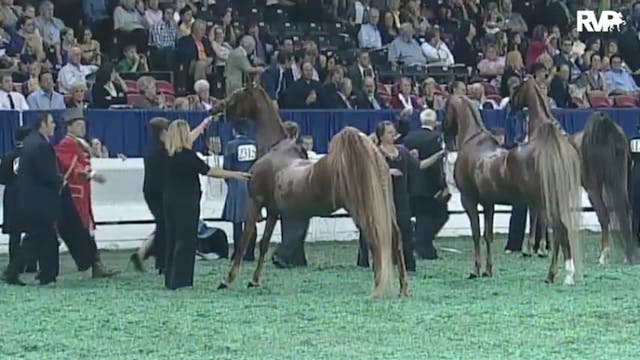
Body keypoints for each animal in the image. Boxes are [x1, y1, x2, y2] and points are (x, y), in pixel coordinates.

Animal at [212, 84, 408, 298]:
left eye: (237, 94)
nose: (214, 109)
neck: (275, 150)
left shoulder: (255, 202)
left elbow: (244, 239)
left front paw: (227, 279)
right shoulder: (273, 210)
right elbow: (263, 244)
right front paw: (254, 280)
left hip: (363, 210)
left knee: (377, 239)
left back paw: (379, 287)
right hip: (383, 207)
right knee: (395, 237)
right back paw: (403, 289)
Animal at [442, 95, 584, 284]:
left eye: (445, 109)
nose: (446, 140)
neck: (473, 143)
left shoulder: (469, 201)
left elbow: (476, 233)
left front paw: (475, 270)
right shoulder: (488, 204)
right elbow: (488, 235)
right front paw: (488, 270)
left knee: (559, 231)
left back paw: (552, 274)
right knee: (563, 231)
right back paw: (567, 274)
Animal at [508, 78, 636, 264]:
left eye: (517, 88)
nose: (509, 106)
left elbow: (536, 215)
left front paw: (532, 248)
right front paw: (543, 248)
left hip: (593, 189)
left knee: (604, 215)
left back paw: (603, 256)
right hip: (619, 183)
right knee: (624, 211)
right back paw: (627, 254)